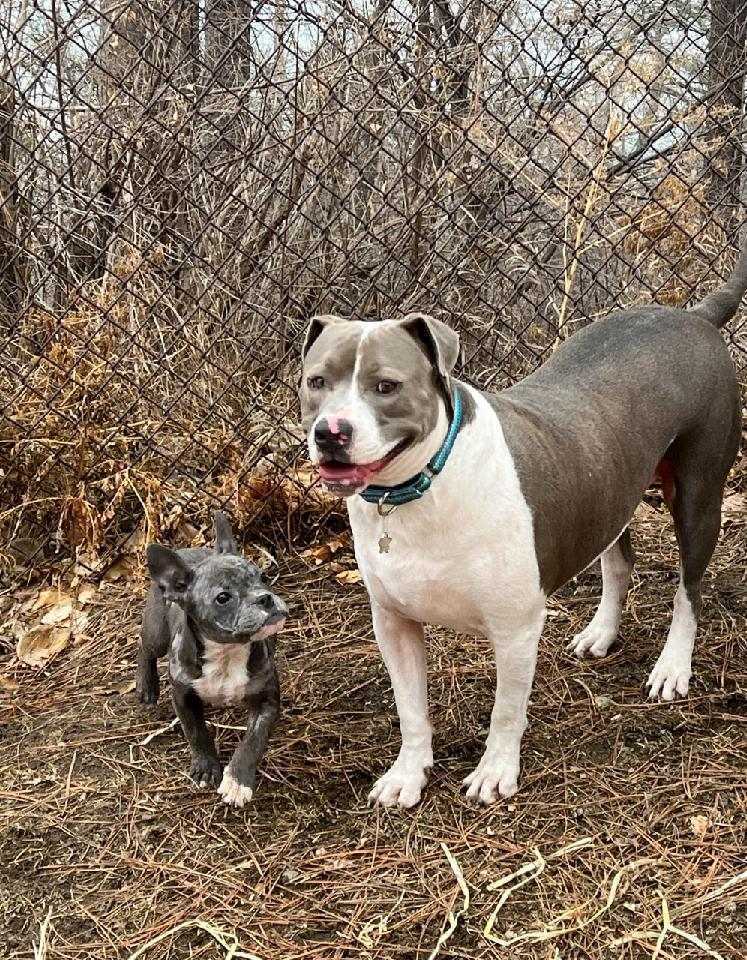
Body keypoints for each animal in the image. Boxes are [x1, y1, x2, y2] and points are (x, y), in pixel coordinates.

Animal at [136, 512, 288, 808]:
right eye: (223, 598)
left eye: (263, 577)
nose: (265, 598)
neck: (226, 652)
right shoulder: (183, 697)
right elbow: (196, 732)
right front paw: (206, 767)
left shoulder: (266, 700)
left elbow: (254, 740)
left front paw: (238, 781)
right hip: (157, 631)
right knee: (145, 647)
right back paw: (146, 686)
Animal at [300, 244, 747, 808]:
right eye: (316, 382)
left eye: (386, 386)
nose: (331, 432)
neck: (423, 484)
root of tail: (694, 316)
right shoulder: (393, 623)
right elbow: (411, 710)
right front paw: (408, 773)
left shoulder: (514, 628)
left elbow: (506, 710)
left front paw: (495, 771)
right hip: (608, 481)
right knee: (618, 559)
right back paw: (601, 632)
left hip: (698, 494)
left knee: (689, 589)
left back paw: (672, 667)